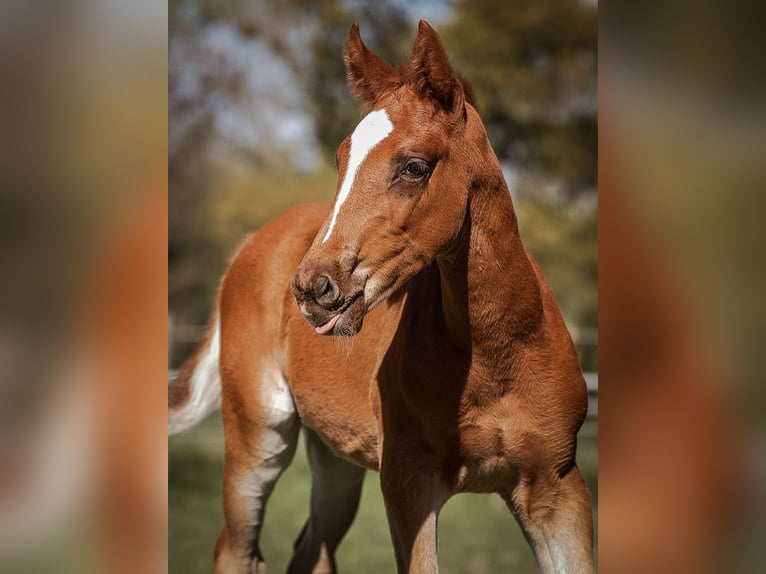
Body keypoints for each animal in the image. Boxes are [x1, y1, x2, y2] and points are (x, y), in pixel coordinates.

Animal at [169, 20, 594, 574]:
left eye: (414, 166)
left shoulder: (557, 489)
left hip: (334, 456)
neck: (501, 353)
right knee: (236, 547)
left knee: (311, 550)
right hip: (257, 438)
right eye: (340, 158)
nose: (313, 287)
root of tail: (250, 243)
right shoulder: (408, 483)